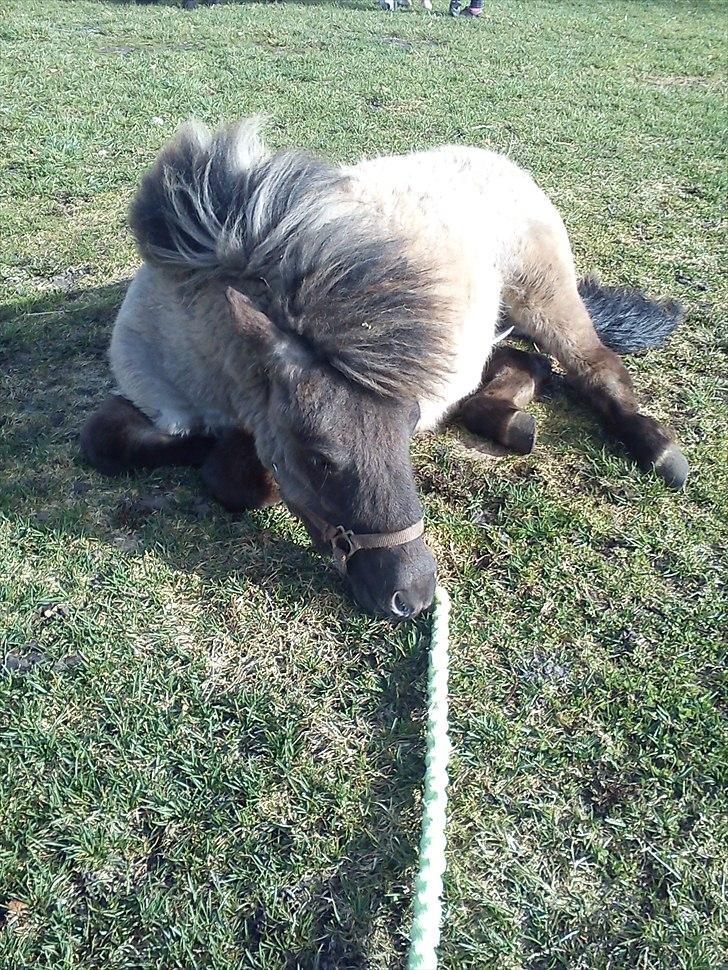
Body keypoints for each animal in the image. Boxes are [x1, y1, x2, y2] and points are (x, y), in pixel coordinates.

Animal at [81, 118, 687, 619]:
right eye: (319, 458)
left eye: (407, 435)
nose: (414, 596)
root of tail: (498, 161)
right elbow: (106, 441)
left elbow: (241, 473)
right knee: (522, 362)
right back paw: (507, 420)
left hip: (544, 296)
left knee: (593, 365)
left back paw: (658, 450)